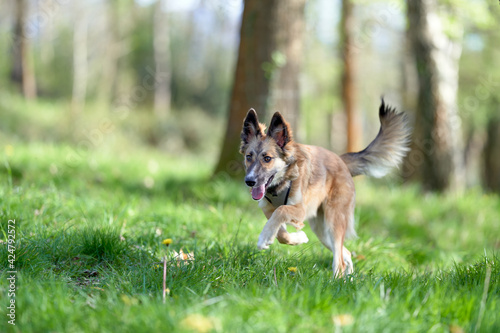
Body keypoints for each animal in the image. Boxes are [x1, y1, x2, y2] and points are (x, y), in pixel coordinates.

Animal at [241, 100, 410, 276]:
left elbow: (281, 210)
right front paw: (298, 237)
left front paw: (265, 238)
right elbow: (281, 233)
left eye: (267, 158)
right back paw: (348, 277)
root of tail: (340, 160)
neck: (282, 181)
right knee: (345, 253)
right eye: (249, 157)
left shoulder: (300, 210)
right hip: (321, 229)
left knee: (339, 260)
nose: (249, 181)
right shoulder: (267, 209)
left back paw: (336, 279)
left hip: (334, 221)